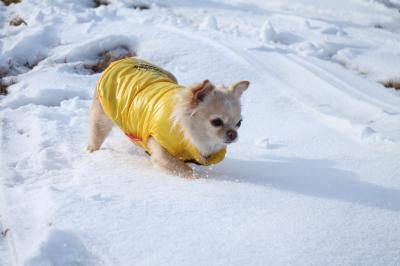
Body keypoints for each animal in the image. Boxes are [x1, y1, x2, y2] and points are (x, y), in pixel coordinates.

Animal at [88, 58, 250, 179]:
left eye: (239, 123)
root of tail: (120, 61)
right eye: (216, 122)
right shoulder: (160, 149)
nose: (233, 134)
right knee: (96, 137)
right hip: (101, 118)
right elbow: (184, 168)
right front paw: (198, 179)